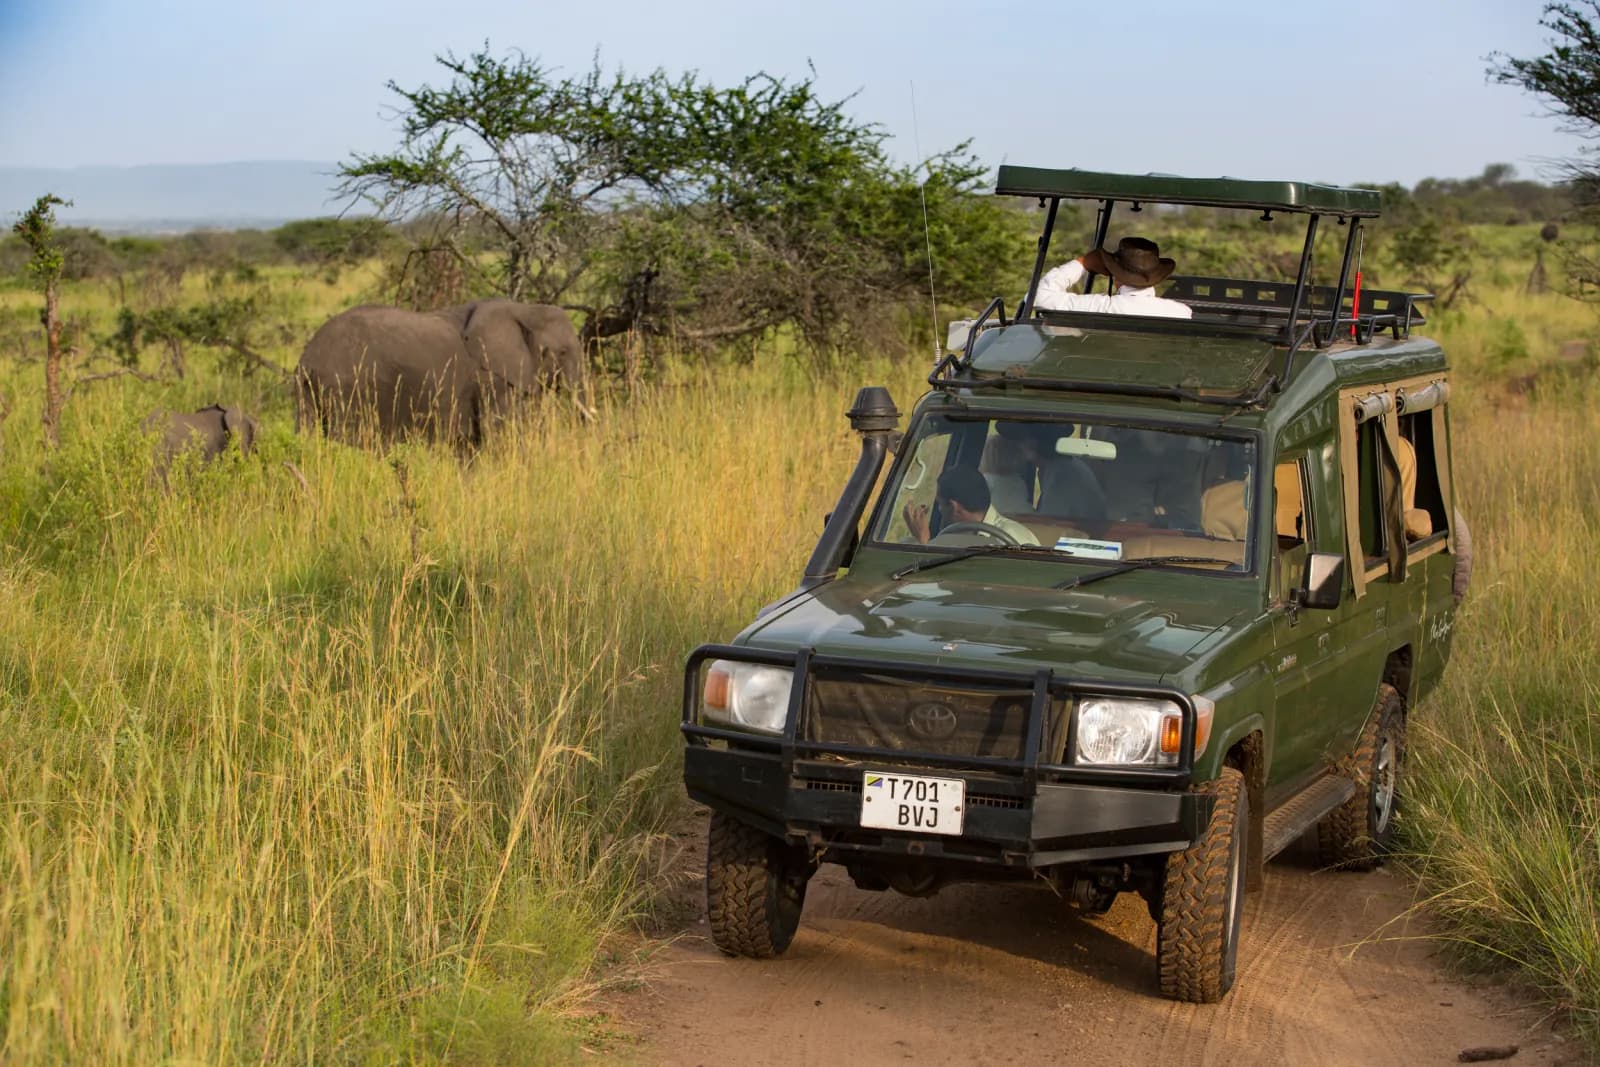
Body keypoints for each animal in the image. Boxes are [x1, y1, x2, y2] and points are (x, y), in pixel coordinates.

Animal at [294, 299, 587, 448]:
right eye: (561, 352)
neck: (525, 309)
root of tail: (307, 359)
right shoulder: (493, 380)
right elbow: (501, 435)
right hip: (347, 389)